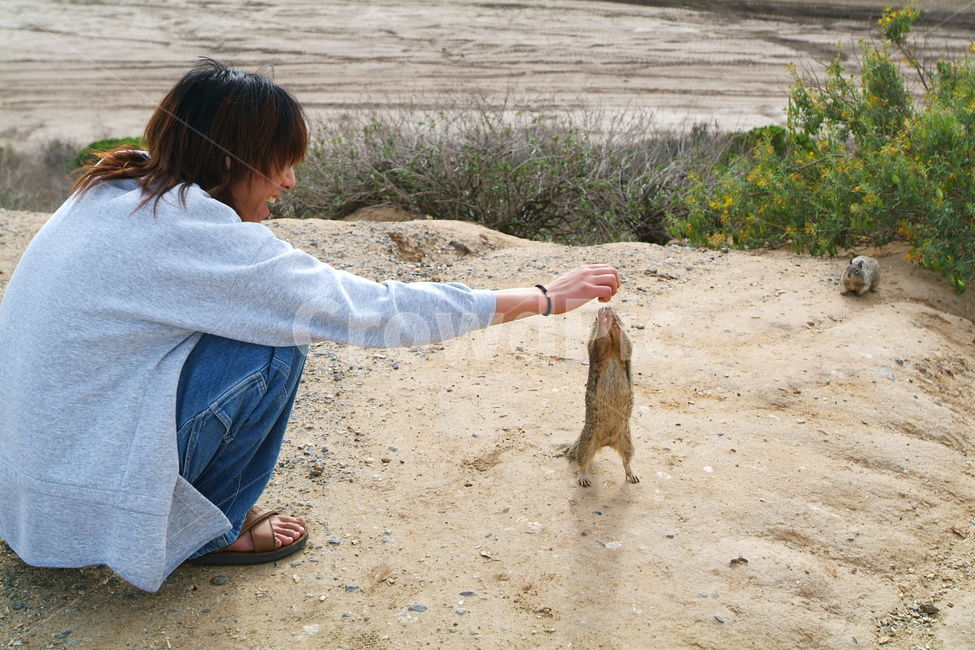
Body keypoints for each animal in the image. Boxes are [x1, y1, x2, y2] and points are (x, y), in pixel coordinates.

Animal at [559, 307, 639, 487]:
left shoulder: (623, 348)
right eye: (594, 318)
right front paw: (604, 319)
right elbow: (598, 343)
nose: (608, 309)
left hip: (627, 441)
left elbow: (626, 342)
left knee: (626, 460)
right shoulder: (596, 348)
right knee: (582, 461)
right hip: (588, 441)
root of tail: (607, 441)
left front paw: (614, 322)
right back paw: (583, 477)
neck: (612, 342)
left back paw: (631, 474)